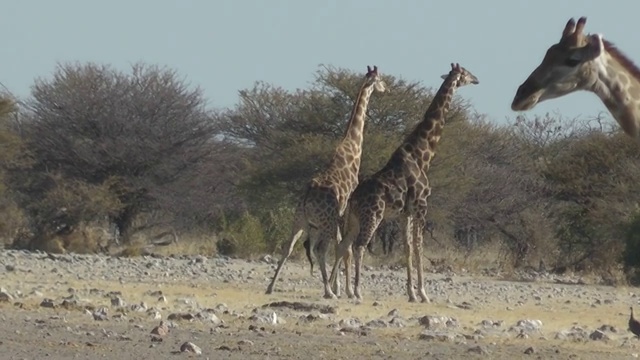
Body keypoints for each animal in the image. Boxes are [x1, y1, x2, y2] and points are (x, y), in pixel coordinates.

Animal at [264, 64, 388, 298]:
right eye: (380, 79)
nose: (386, 88)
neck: (353, 149)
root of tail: (306, 197)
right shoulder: (344, 212)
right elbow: (343, 248)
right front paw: (344, 289)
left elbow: (339, 247)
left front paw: (340, 287)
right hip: (325, 221)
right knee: (321, 249)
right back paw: (329, 291)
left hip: (300, 220)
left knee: (289, 247)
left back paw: (271, 286)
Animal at [330, 63, 476, 302]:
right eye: (465, 73)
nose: (476, 79)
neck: (422, 154)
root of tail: (354, 198)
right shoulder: (421, 205)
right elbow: (418, 247)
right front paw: (424, 293)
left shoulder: (404, 212)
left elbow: (407, 248)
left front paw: (412, 293)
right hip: (373, 215)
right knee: (359, 246)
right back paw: (357, 291)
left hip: (354, 218)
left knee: (344, 245)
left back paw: (335, 289)